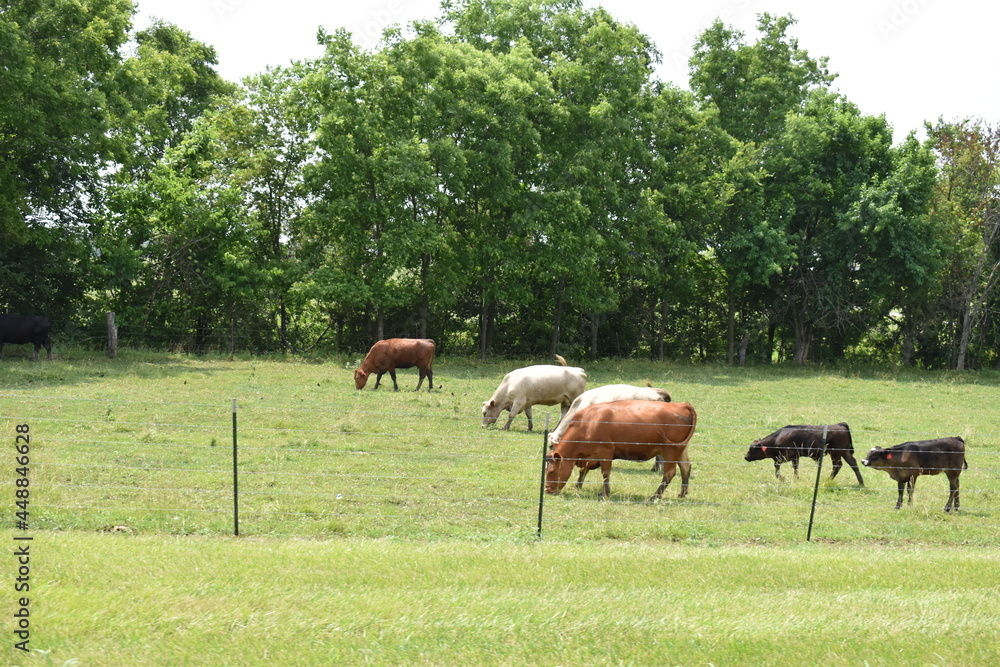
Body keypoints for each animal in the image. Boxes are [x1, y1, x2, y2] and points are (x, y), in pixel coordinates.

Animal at [545, 400, 696, 501]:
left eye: (551, 471)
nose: (547, 490)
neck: (587, 424)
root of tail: (682, 404)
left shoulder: (605, 451)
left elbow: (605, 473)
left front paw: (605, 493)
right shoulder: (590, 456)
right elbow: (584, 470)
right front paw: (578, 486)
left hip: (670, 451)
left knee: (669, 473)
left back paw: (655, 496)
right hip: (681, 450)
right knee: (685, 468)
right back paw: (682, 493)